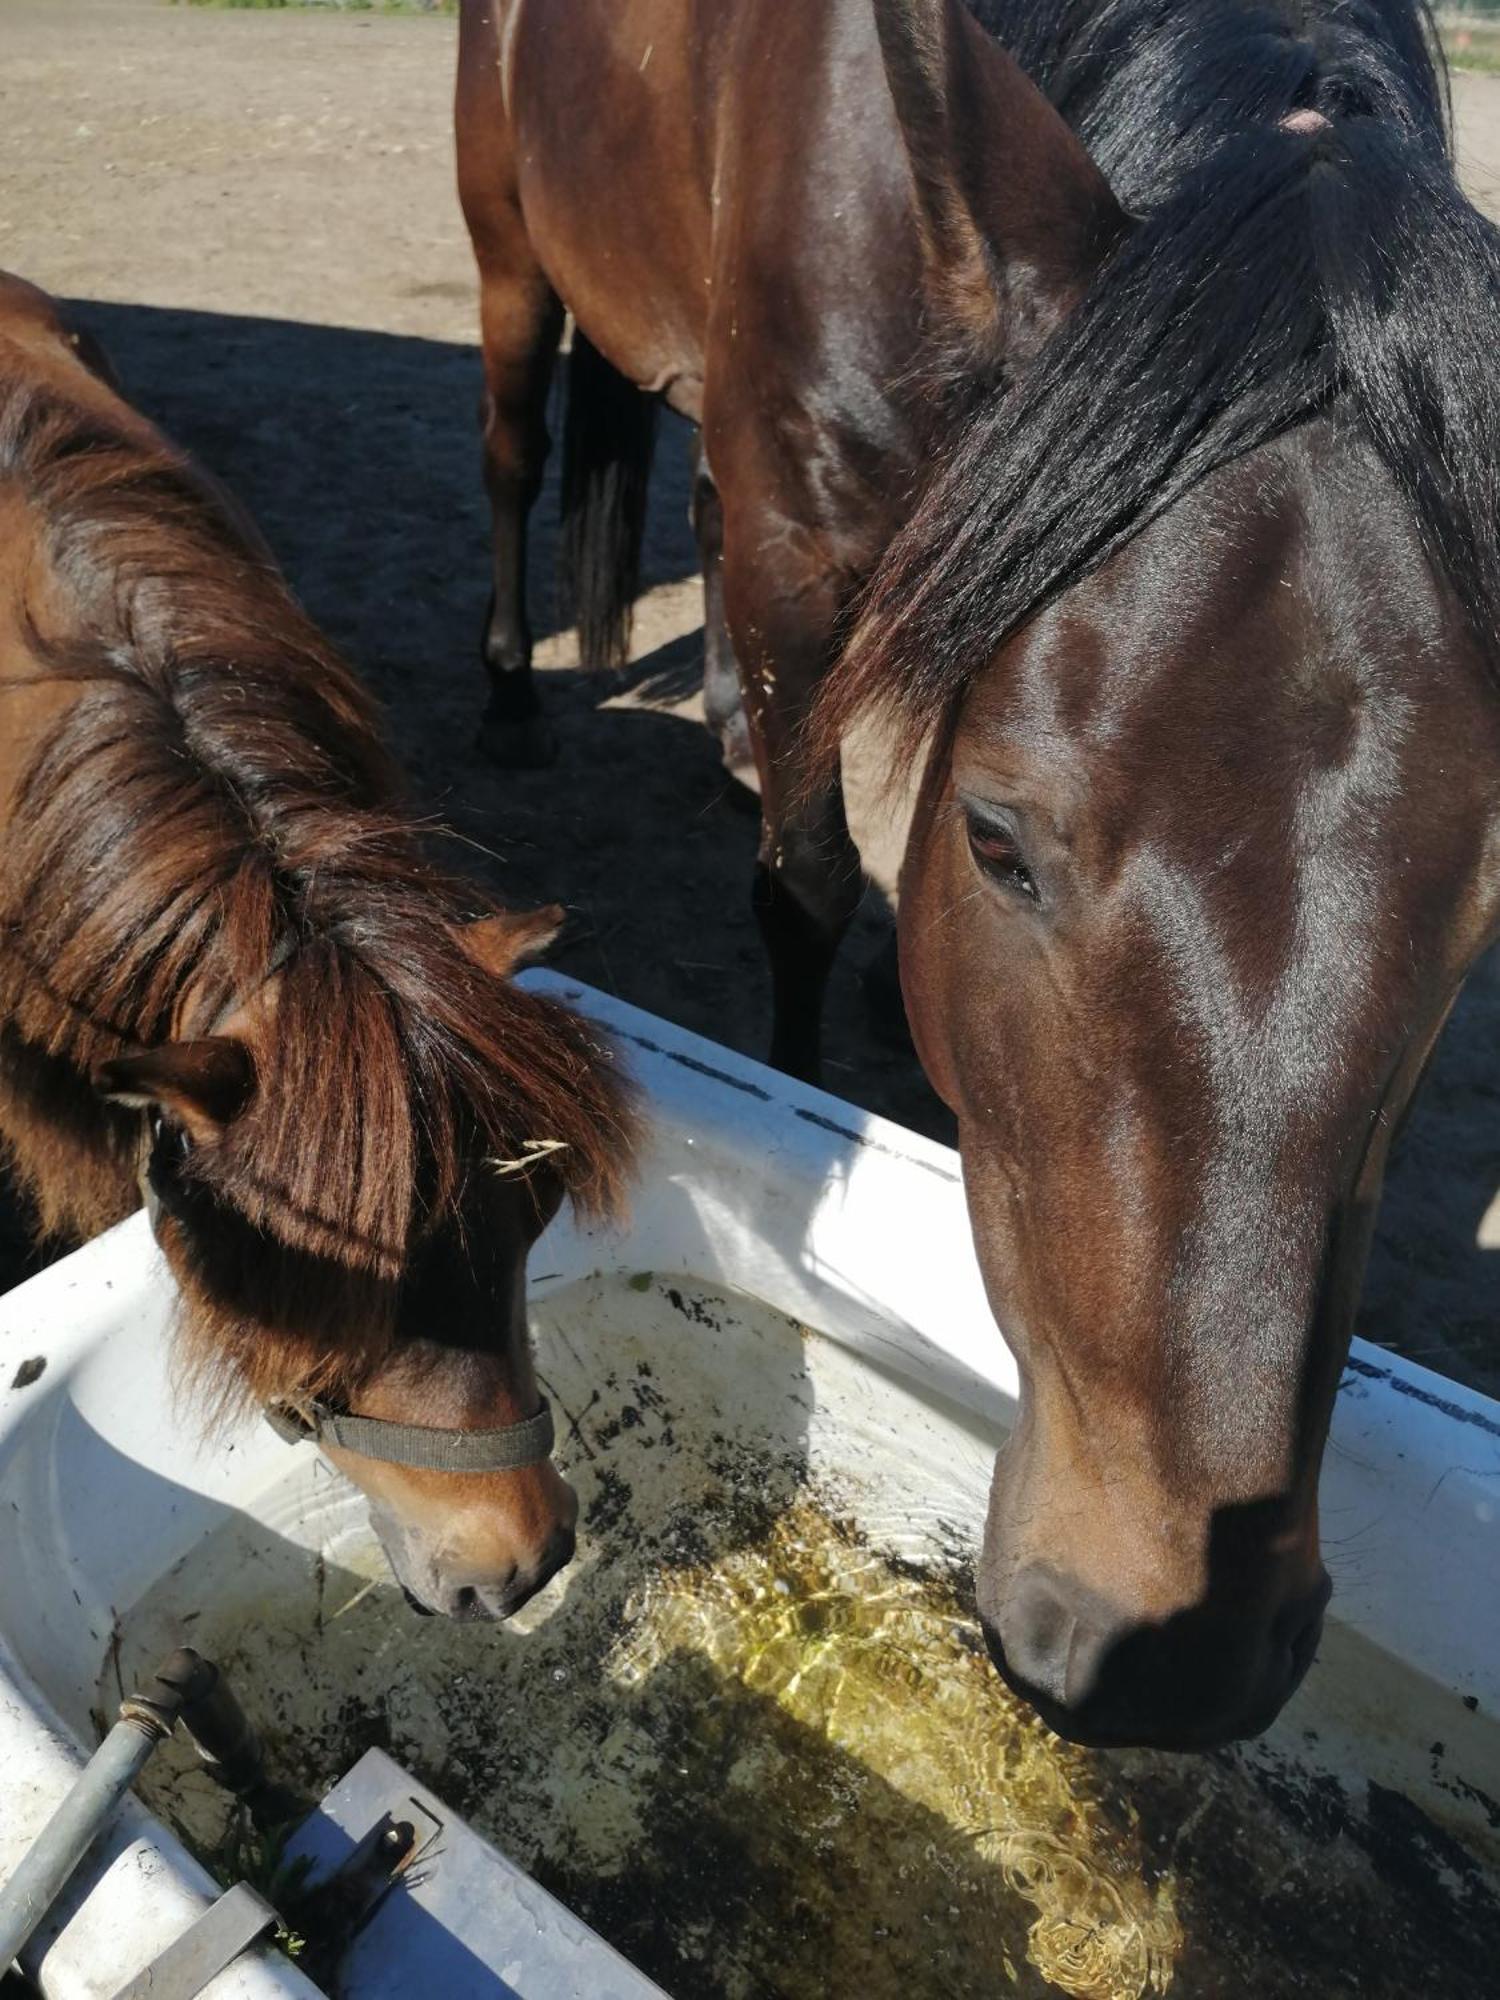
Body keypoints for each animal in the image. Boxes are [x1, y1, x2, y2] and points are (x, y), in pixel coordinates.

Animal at [456, 0, 1500, 1752]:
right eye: (996, 843)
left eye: (1486, 906)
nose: (1179, 1653)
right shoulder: (803, 552)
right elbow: (808, 884)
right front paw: (810, 1098)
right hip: (510, 259)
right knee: (520, 453)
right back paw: (515, 695)